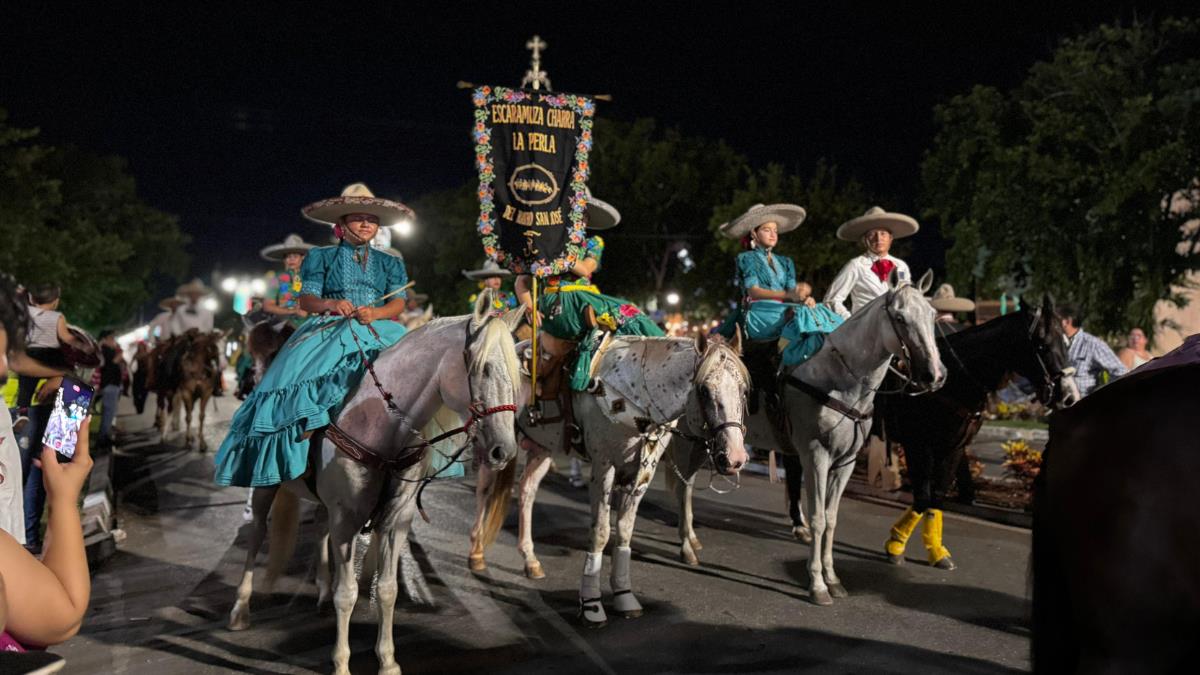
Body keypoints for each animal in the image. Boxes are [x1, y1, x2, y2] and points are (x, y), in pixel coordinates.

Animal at [226, 291, 523, 672]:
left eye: (516, 369)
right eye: (483, 368)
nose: (505, 450)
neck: (383, 425)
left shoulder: (396, 520)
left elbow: (386, 589)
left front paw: (388, 661)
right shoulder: (346, 520)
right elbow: (349, 593)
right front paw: (341, 663)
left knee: (318, 528)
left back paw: (321, 592)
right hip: (266, 486)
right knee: (257, 534)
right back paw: (240, 609)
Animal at [468, 336, 748, 624]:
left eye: (743, 390)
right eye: (704, 390)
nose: (735, 457)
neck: (635, 395)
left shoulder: (644, 471)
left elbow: (624, 531)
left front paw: (624, 595)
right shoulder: (604, 467)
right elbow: (601, 533)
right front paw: (591, 604)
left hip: (543, 448)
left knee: (527, 490)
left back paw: (530, 560)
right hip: (496, 444)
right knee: (485, 488)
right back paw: (476, 553)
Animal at [667, 270, 945, 600]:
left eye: (932, 315)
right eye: (900, 317)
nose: (934, 375)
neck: (838, 380)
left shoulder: (846, 462)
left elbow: (832, 518)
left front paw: (833, 577)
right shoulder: (816, 456)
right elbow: (818, 519)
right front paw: (817, 583)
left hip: (705, 442)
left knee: (687, 483)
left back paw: (692, 538)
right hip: (689, 439)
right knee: (683, 486)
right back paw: (686, 545)